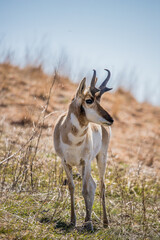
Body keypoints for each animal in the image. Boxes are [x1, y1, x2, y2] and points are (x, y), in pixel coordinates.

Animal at [53, 69, 114, 231]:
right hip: (81, 166)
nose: (110, 119)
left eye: (99, 100)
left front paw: (89, 223)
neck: (73, 140)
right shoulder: (65, 162)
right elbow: (72, 187)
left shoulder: (85, 161)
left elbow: (85, 190)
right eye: (89, 100)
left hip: (100, 158)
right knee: (93, 184)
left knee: (101, 185)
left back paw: (104, 222)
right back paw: (88, 219)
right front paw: (73, 221)